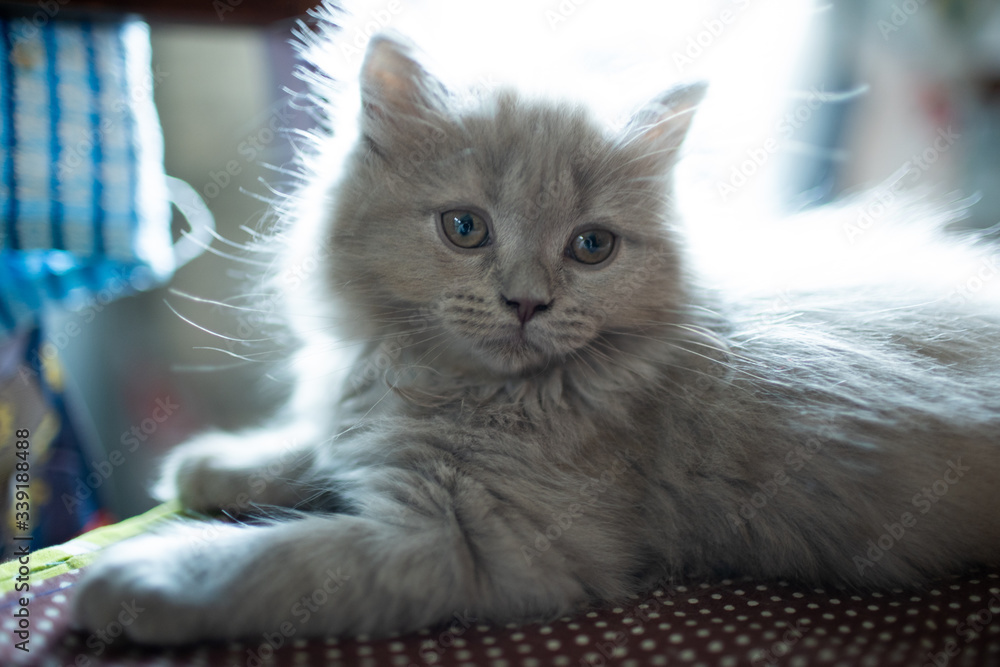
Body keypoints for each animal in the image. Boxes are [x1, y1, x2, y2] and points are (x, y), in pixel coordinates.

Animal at [72, 10, 1000, 644]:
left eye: (591, 247)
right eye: (466, 229)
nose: (526, 301)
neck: (455, 385)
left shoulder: (479, 544)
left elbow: (284, 559)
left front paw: (138, 578)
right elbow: (314, 445)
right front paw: (220, 463)